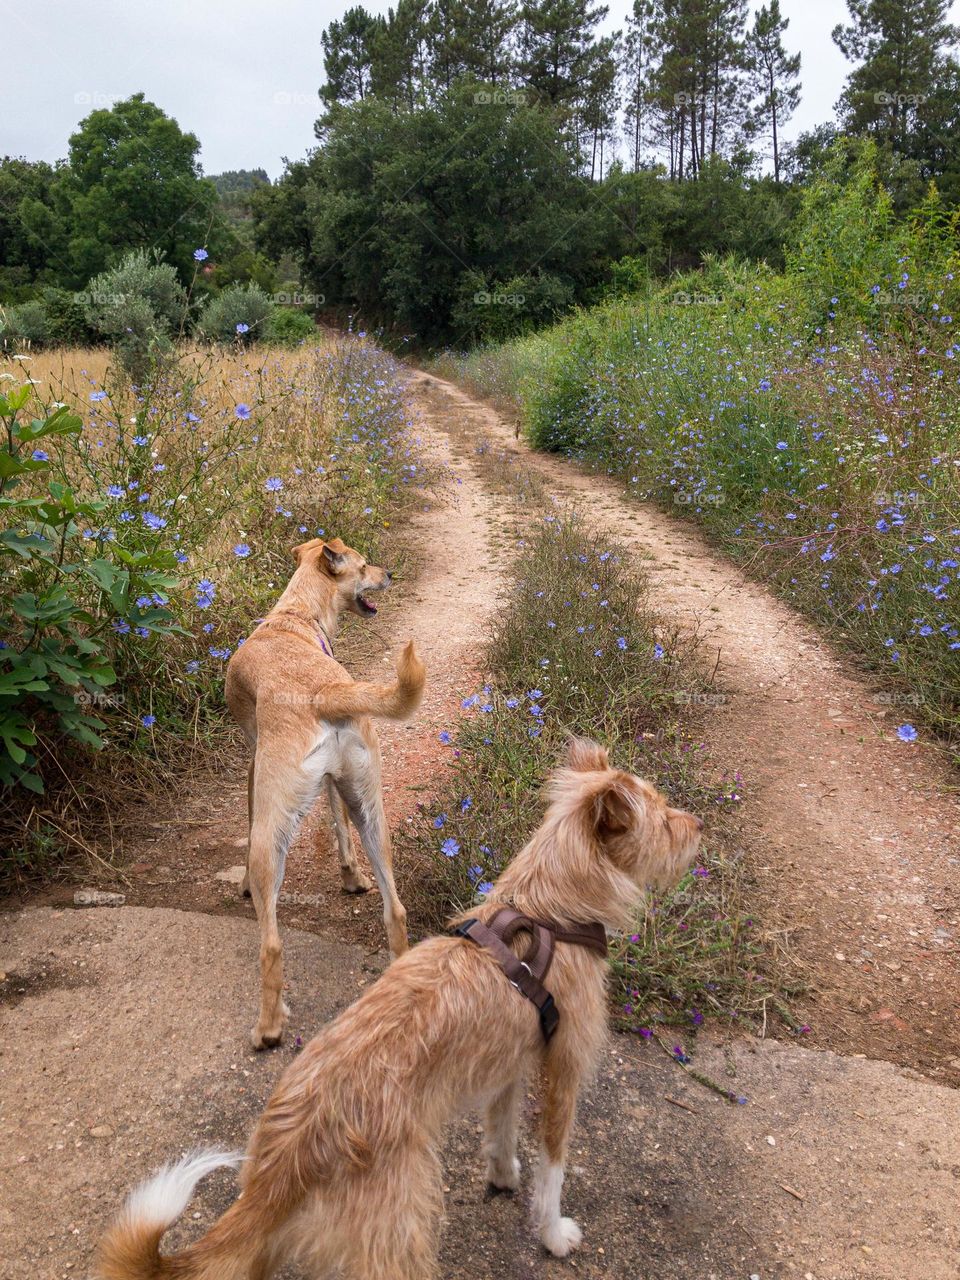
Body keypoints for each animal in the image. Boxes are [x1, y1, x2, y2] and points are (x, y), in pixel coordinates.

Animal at [99, 742, 706, 1280]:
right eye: (663, 817)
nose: (699, 825)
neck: (549, 905)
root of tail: (289, 1149)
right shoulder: (565, 1068)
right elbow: (552, 1167)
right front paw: (554, 1234)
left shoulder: (509, 1062)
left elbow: (502, 1130)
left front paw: (503, 1175)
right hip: (400, 1230)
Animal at [225, 540, 424, 1049]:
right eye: (364, 565)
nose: (389, 574)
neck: (295, 616)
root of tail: (323, 692)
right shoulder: (338, 785)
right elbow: (339, 828)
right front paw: (351, 878)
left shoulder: (253, 765)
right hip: (373, 813)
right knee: (396, 909)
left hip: (271, 837)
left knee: (271, 944)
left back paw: (268, 1028)